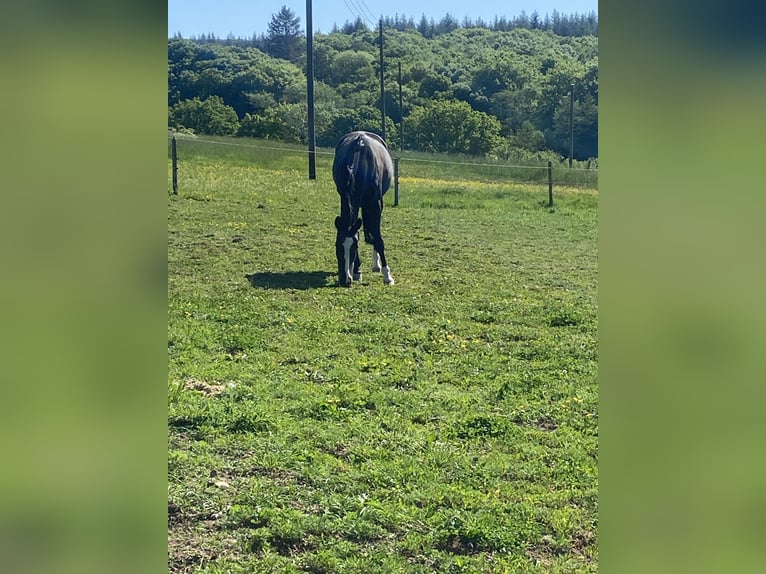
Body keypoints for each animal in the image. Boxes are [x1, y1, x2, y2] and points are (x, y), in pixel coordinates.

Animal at [332, 131, 395, 287]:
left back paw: (377, 265)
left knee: (373, 232)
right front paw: (356, 270)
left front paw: (387, 276)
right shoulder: (345, 198)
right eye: (337, 246)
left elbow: (378, 238)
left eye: (354, 247)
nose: (345, 280)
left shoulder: (375, 204)